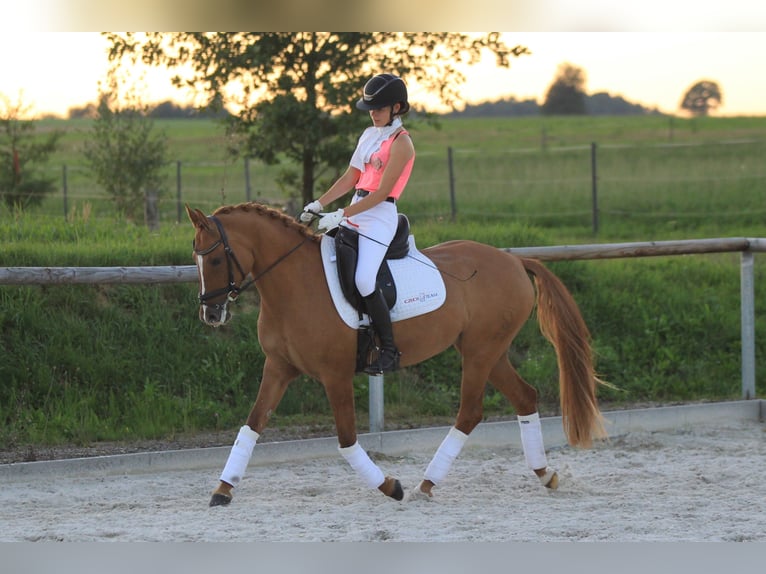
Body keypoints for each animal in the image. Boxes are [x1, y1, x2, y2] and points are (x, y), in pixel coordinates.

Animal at [186, 204, 608, 508]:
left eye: (216, 259)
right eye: (196, 258)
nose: (211, 314)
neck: (294, 284)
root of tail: (513, 260)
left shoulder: (335, 375)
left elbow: (346, 441)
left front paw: (390, 487)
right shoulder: (279, 367)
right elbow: (252, 425)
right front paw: (223, 490)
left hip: (480, 351)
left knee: (470, 412)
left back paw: (426, 484)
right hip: (490, 350)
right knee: (524, 396)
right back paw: (544, 473)